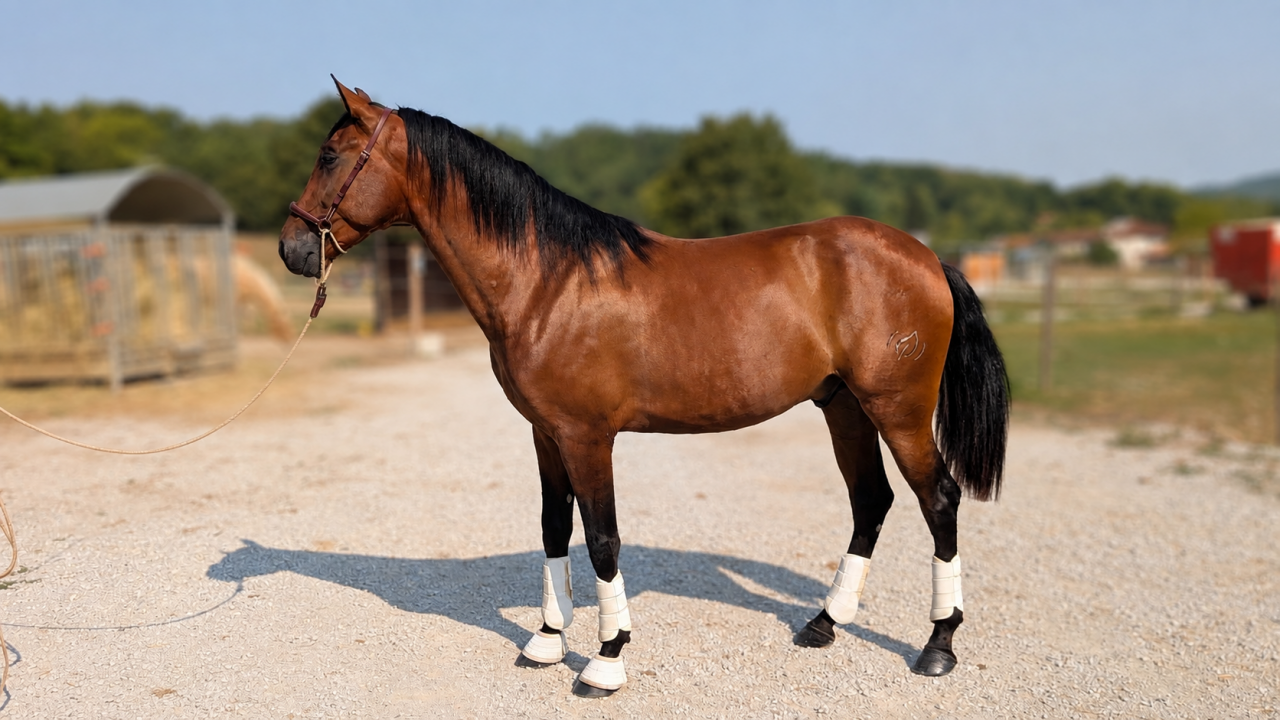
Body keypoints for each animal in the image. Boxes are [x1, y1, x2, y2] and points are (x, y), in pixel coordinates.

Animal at [279, 78, 1010, 698]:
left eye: (330, 155)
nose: (292, 249)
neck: (548, 281)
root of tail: (927, 258)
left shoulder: (587, 436)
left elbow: (602, 537)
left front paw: (606, 659)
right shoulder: (545, 433)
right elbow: (553, 526)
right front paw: (547, 640)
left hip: (899, 409)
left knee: (938, 500)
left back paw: (938, 645)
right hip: (844, 406)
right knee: (871, 501)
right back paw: (824, 623)